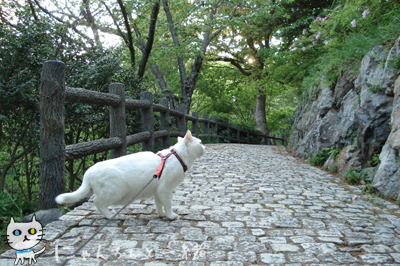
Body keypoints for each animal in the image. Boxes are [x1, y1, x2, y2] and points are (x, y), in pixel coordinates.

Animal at [55, 130, 206, 219]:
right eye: (200, 142)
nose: (204, 147)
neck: (177, 156)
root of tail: (88, 172)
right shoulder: (165, 189)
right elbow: (168, 204)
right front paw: (170, 215)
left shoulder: (158, 191)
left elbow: (159, 205)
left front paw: (161, 214)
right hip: (115, 192)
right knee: (97, 202)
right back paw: (110, 216)